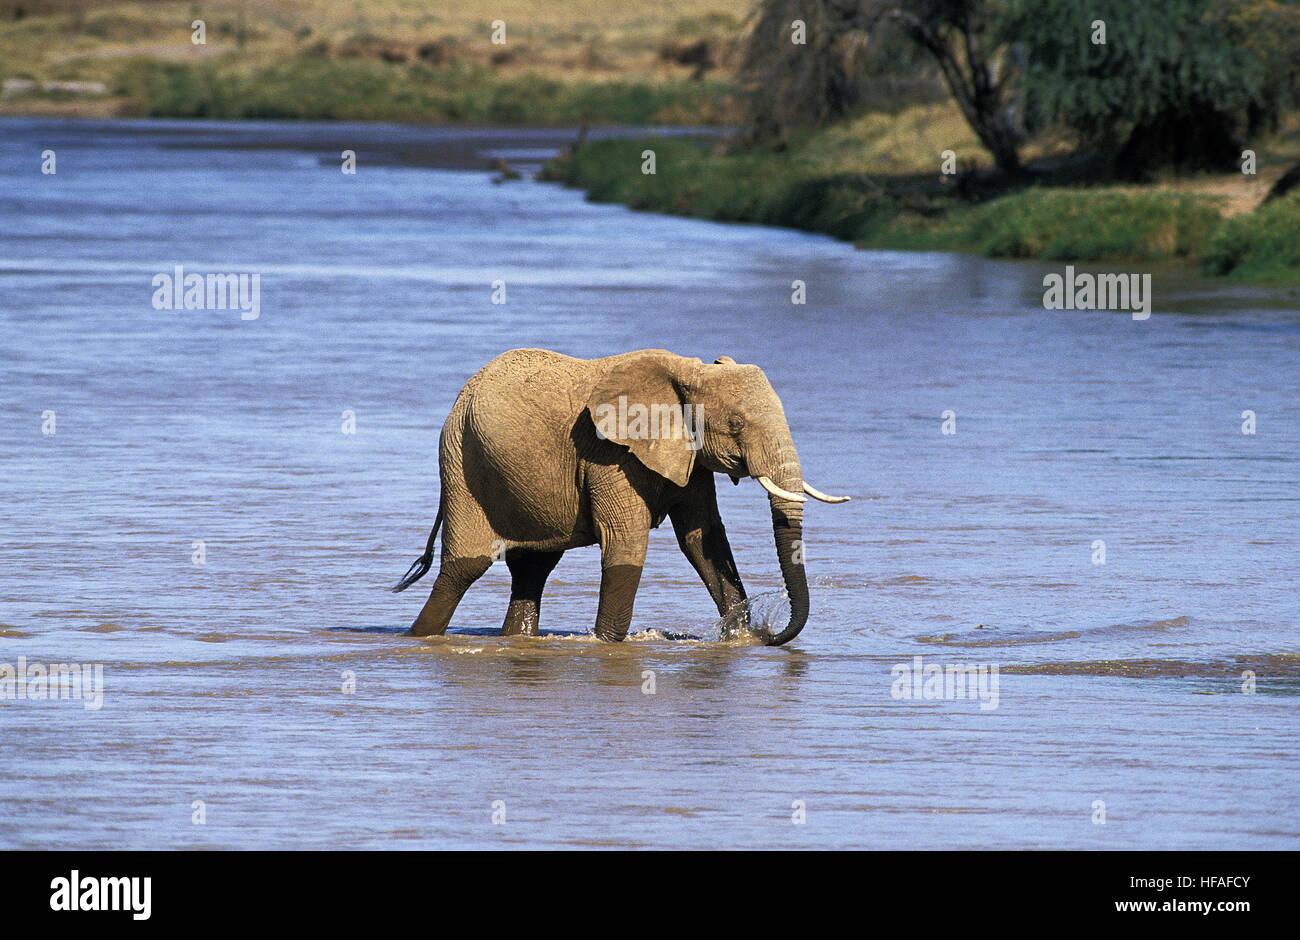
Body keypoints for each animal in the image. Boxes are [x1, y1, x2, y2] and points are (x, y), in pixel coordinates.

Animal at [390, 348, 847, 642]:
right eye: (736, 424)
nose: (770, 636)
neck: (689, 371)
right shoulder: (608, 453)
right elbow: (626, 541)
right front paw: (607, 645)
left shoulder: (688, 454)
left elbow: (703, 539)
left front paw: (737, 637)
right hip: (462, 463)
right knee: (464, 568)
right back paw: (419, 637)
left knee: (532, 570)